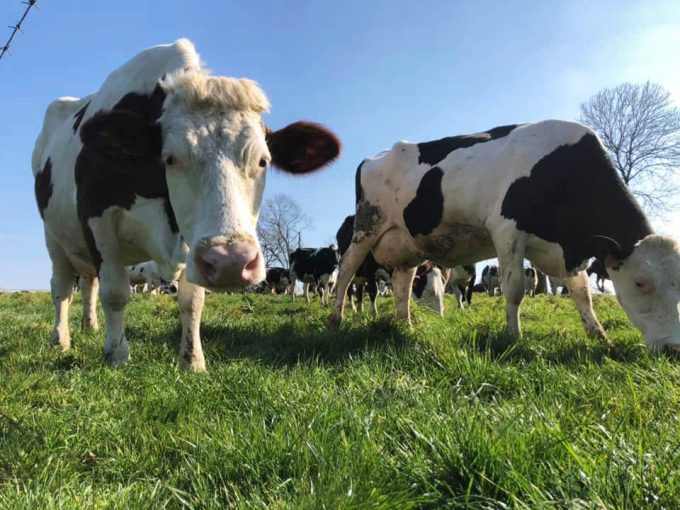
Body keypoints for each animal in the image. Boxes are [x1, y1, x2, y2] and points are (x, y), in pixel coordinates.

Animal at [32, 39, 341, 370]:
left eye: (263, 161)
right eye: (170, 158)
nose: (231, 262)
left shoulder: (193, 242)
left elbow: (192, 300)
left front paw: (192, 360)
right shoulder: (97, 219)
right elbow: (115, 293)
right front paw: (117, 356)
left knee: (89, 283)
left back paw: (90, 326)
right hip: (54, 238)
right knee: (62, 287)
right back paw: (60, 339)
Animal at [328, 120, 680, 351]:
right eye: (640, 283)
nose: (673, 349)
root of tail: (374, 156)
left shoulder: (562, 249)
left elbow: (581, 292)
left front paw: (600, 336)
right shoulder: (507, 230)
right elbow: (514, 290)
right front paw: (513, 336)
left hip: (407, 244)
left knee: (402, 285)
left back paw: (406, 325)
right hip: (366, 227)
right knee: (346, 273)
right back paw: (336, 319)